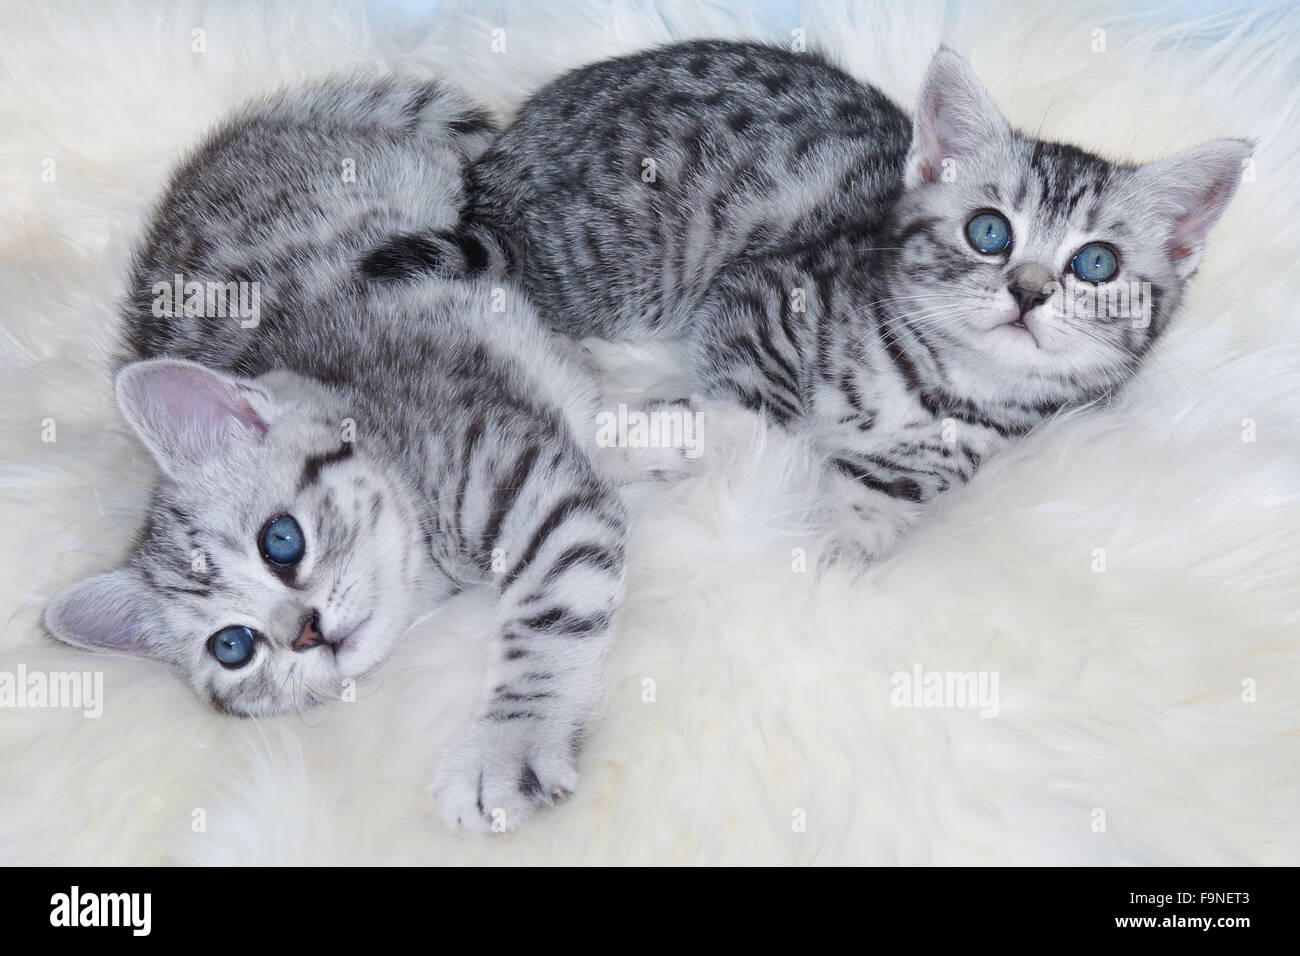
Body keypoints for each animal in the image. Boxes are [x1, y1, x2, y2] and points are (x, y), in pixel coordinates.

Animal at [40, 78, 629, 832]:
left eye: (281, 541)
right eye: (232, 646)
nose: (306, 634)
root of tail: (241, 134)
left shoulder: (531, 483)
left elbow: (552, 606)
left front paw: (509, 745)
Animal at [366, 44, 1248, 564]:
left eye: (1096, 264)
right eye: (989, 230)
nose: (1028, 292)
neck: (939, 386)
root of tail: (499, 168)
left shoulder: (941, 460)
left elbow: (870, 503)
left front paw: (833, 552)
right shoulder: (755, 299)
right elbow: (761, 418)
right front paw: (665, 437)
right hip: (620, 263)